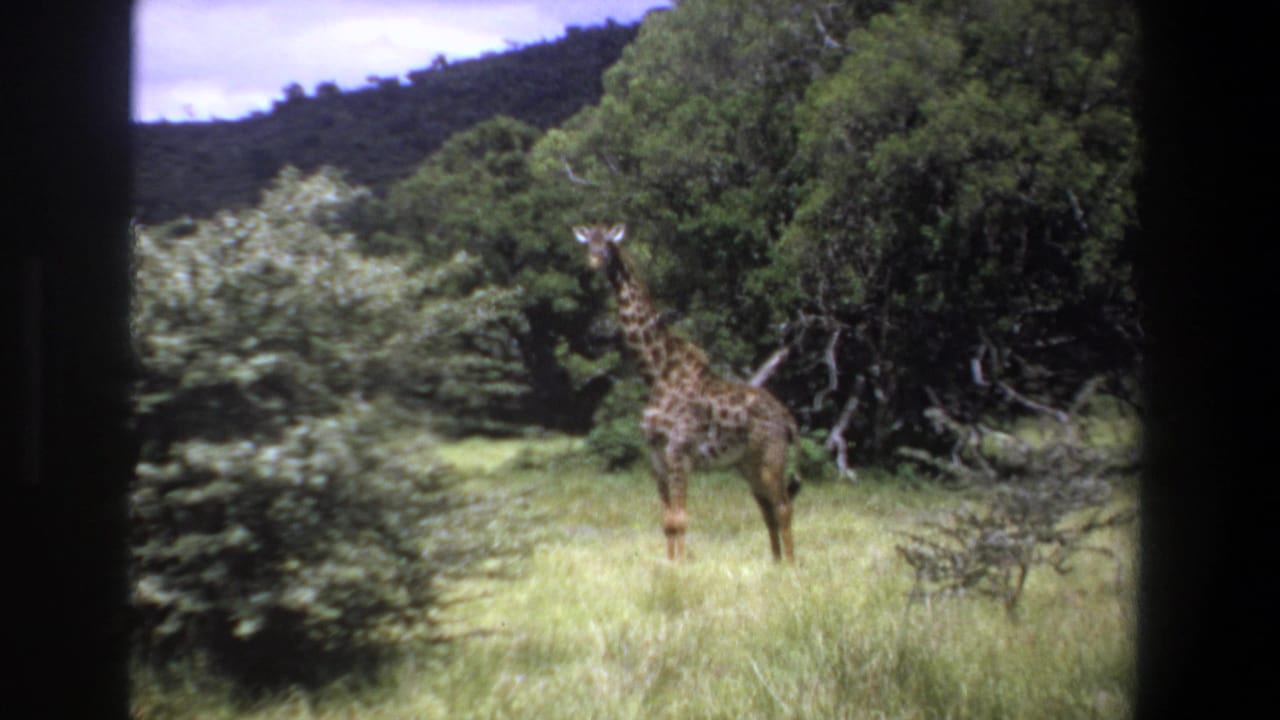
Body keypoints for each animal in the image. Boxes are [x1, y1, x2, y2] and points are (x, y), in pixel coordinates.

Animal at [573, 223, 801, 562]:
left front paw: (680, 567)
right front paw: (669, 565)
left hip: (771, 456)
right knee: (766, 509)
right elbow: (666, 521)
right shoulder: (656, 455)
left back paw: (792, 566)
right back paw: (774, 563)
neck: (656, 372)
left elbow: (680, 519)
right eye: (589, 243)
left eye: (610, 244)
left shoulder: (679, 451)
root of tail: (788, 418)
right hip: (747, 464)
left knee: (784, 506)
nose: (594, 261)